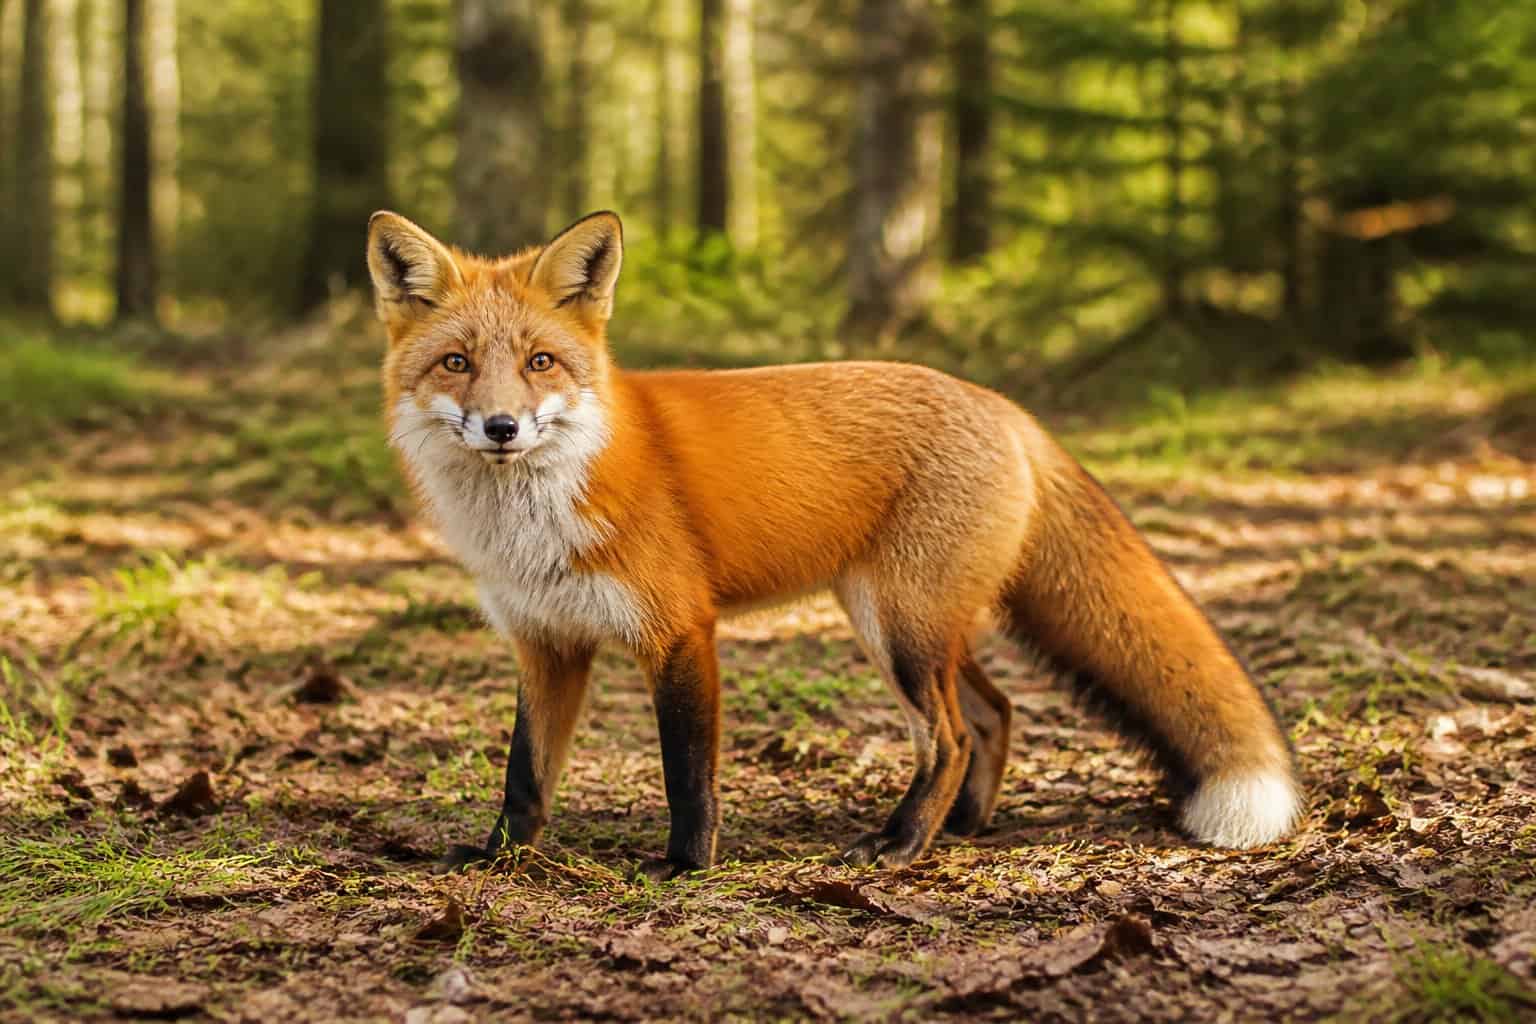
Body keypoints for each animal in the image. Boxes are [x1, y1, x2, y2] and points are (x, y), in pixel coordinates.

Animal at [365, 209, 1302, 881]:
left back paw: (902, 844)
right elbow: (526, 773)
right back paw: (963, 827)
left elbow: (688, 773)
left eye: (540, 362)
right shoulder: (546, 642)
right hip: (912, 625)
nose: (501, 426)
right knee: (995, 715)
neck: (538, 516)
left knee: (951, 736)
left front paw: (685, 867)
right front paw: (501, 858)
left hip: (899, 629)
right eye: (455, 363)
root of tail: (1003, 406)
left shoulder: (680, 632)